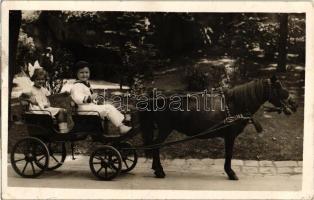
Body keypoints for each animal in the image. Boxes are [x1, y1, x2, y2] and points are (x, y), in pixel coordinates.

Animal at [139, 75, 298, 180]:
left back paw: (156, 168)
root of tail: (156, 94)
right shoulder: (230, 136)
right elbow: (229, 154)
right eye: (278, 87)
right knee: (156, 145)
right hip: (165, 128)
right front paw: (230, 173)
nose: (295, 104)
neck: (235, 103)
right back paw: (159, 171)